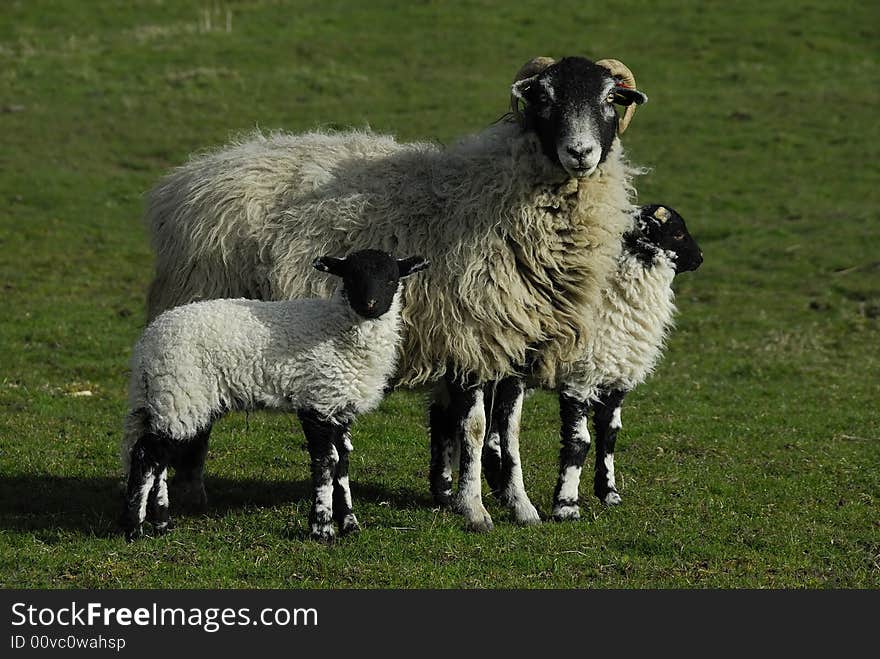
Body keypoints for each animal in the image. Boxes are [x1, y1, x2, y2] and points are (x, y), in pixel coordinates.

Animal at [120, 248, 430, 540]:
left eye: (391, 280)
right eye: (351, 277)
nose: (370, 305)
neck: (336, 327)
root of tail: (146, 346)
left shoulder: (339, 405)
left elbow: (343, 464)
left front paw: (350, 524)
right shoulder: (316, 400)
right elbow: (326, 462)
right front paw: (322, 528)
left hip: (169, 400)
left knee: (158, 460)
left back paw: (162, 524)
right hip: (180, 394)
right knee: (146, 454)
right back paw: (135, 529)